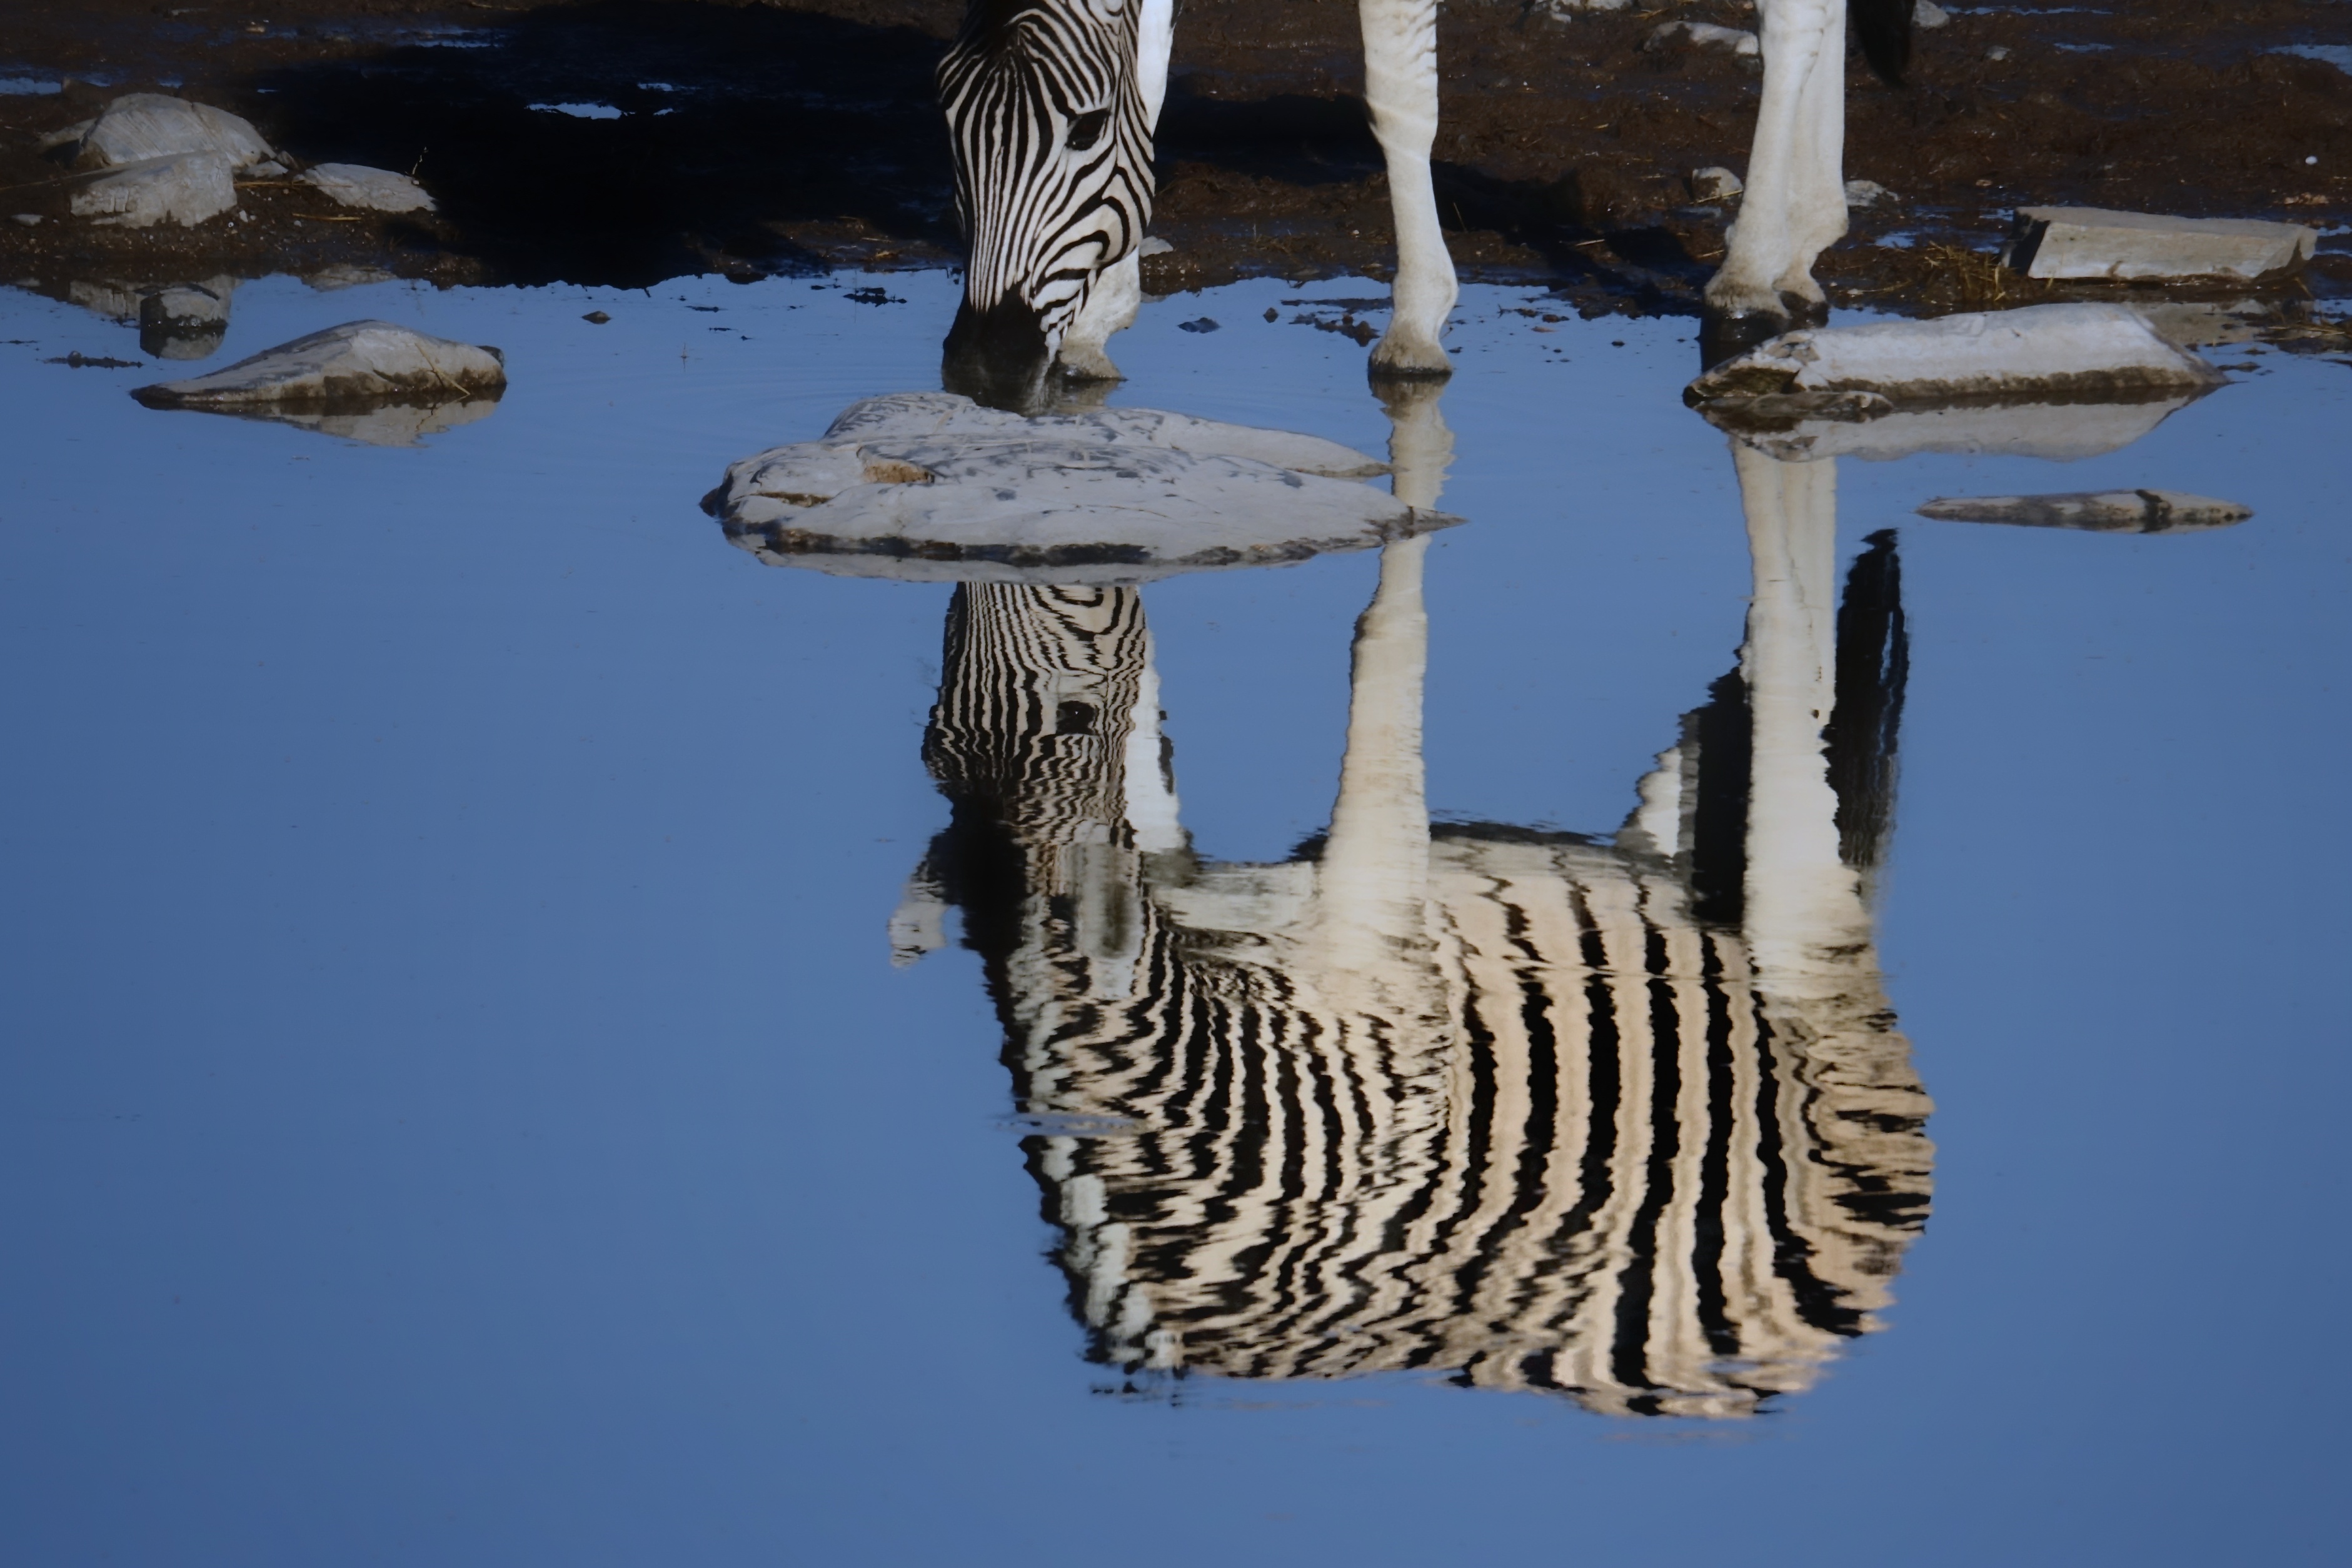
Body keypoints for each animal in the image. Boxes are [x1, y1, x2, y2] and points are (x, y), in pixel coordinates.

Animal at [892, 392, 1935, 1416]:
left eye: (1063, 707)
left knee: (1790, 672)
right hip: (1670, 848)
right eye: (934, 742)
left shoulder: (1374, 939)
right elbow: (1146, 774)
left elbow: (1379, 639)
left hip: (1805, 950)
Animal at [937, 0, 1917, 393]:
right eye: (945, 124)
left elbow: (1397, 94)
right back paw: (1804, 237)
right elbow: (1147, 67)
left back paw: (1746, 272)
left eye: (1083, 131)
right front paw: (1102, 316)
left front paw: (1415, 323)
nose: (982, 368)